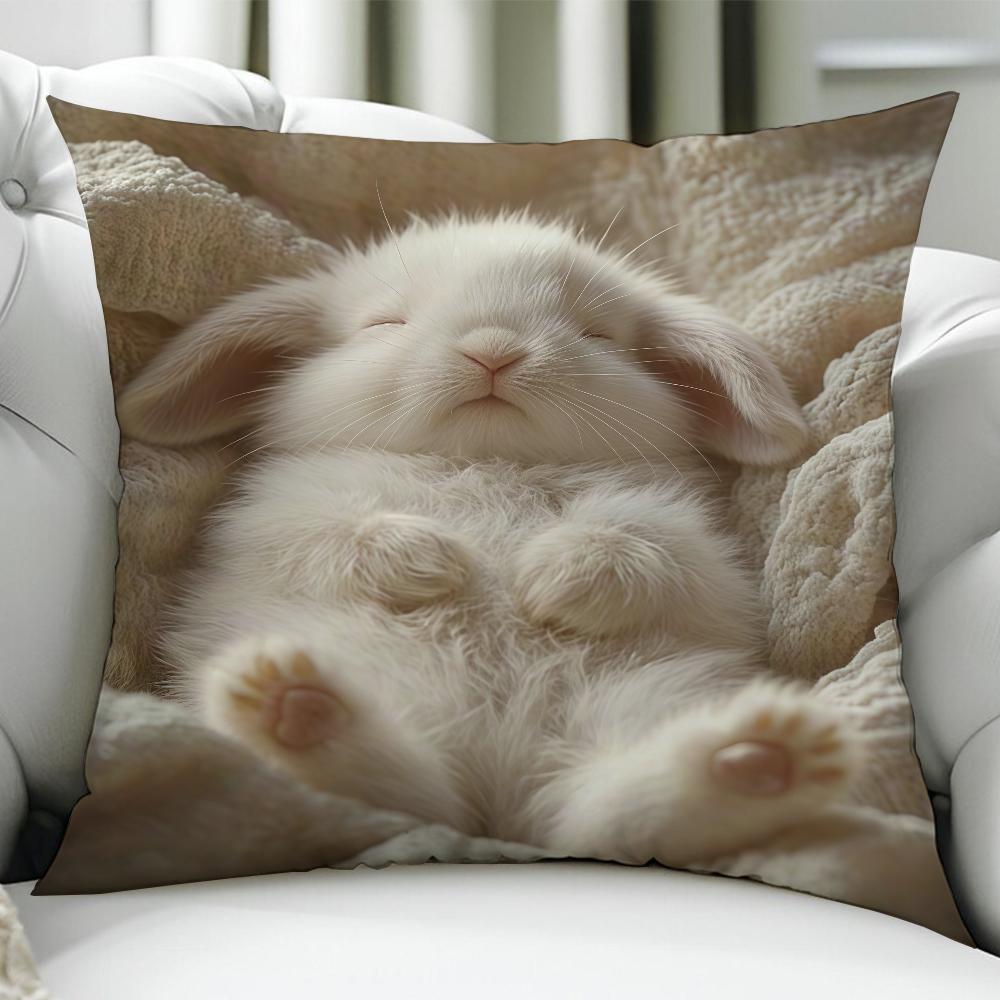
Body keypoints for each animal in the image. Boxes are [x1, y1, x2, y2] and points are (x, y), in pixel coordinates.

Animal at [117, 210, 865, 870]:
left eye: (598, 334)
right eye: (384, 324)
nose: (493, 350)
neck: (487, 458)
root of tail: (501, 796)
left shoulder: (686, 536)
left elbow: (635, 549)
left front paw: (548, 583)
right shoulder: (276, 517)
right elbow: (340, 535)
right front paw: (434, 564)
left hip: (646, 700)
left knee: (602, 815)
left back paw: (761, 759)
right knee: (405, 794)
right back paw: (292, 706)